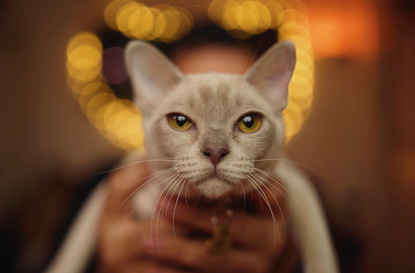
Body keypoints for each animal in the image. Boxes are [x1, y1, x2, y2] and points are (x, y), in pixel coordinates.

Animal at [45, 40, 340, 272]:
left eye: (249, 123)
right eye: (180, 122)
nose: (215, 151)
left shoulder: (294, 183)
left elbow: (318, 243)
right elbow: (76, 241)